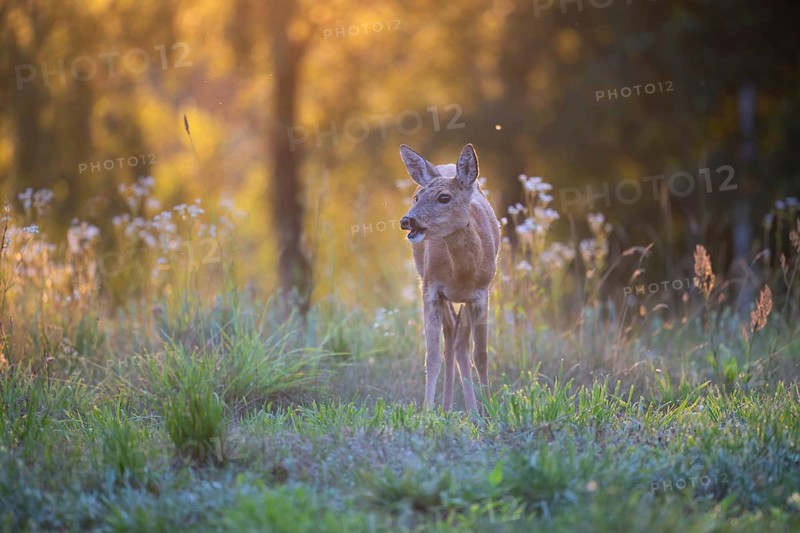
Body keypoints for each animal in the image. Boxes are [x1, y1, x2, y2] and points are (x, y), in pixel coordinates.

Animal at [398, 143, 500, 412]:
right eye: (416, 197)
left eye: (444, 197)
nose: (407, 220)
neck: (462, 274)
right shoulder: (431, 288)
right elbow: (432, 355)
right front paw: (427, 411)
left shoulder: (481, 294)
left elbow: (481, 356)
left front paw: (490, 411)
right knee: (451, 338)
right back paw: (447, 407)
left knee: (459, 342)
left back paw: (472, 411)